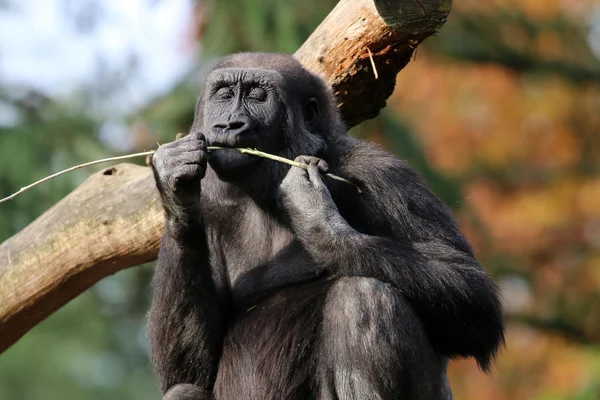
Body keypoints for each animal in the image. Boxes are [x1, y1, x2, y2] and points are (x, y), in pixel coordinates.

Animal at [148, 53, 504, 400]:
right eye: (223, 94)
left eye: (257, 95)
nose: (229, 123)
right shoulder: (210, 205)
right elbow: (189, 371)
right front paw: (176, 182)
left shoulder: (378, 171)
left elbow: (472, 292)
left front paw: (316, 217)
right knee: (183, 391)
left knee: (364, 297)